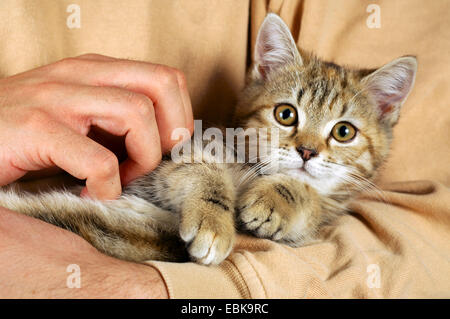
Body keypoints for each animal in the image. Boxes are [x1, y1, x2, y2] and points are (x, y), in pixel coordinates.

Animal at [0, 14, 416, 264]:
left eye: (344, 132)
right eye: (286, 114)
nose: (307, 150)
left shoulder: (317, 221)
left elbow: (312, 201)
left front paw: (277, 199)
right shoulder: (167, 162)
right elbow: (201, 169)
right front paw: (213, 220)